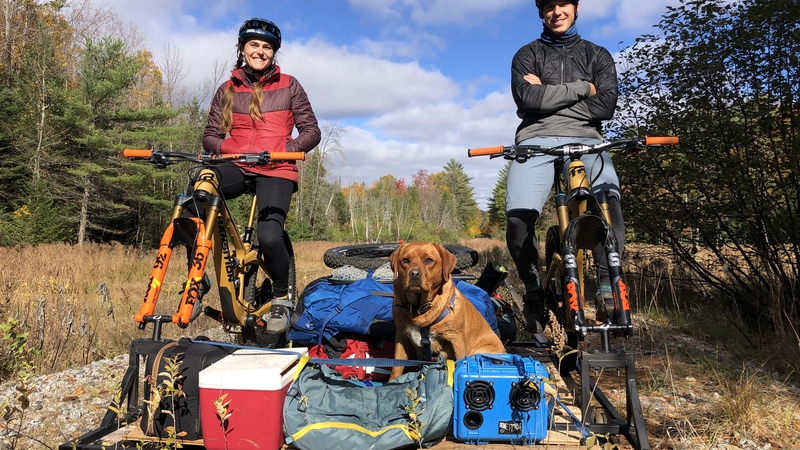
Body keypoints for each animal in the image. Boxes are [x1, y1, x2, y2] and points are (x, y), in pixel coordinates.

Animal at [390, 243, 506, 380]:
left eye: (429, 260)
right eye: (405, 260)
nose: (414, 274)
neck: (419, 308)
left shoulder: (456, 339)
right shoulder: (401, 336)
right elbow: (396, 367)